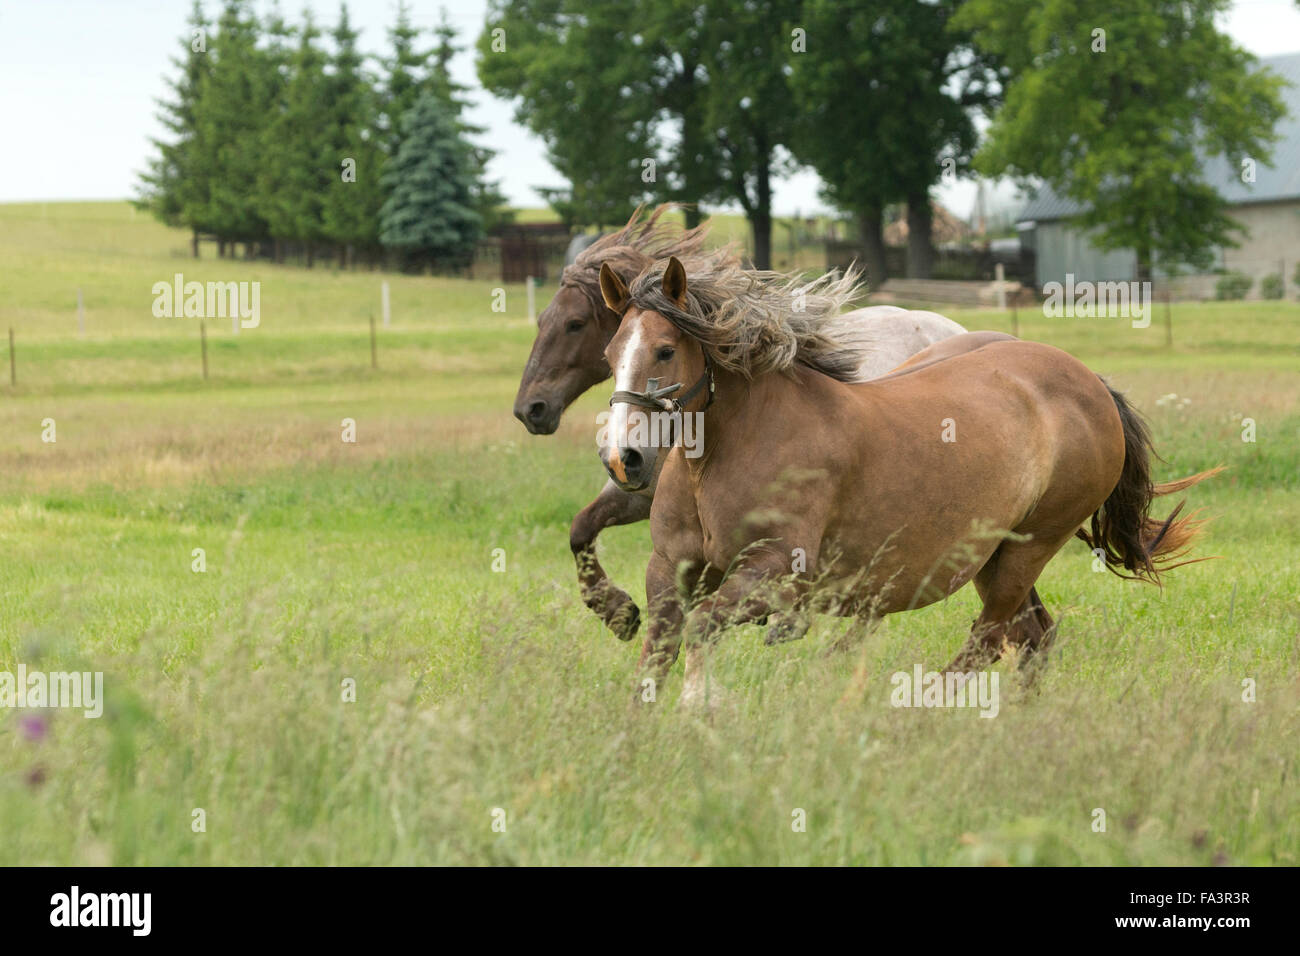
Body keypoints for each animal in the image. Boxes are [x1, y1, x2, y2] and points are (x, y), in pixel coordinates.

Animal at [513, 204, 968, 640]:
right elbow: (581, 528)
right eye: (610, 353)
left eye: (574, 325)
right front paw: (619, 613)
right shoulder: (638, 493)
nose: (530, 409)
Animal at [597, 256, 1219, 705]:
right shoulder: (671, 568)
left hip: (1031, 545)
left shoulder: (774, 570)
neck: (724, 454)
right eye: (608, 355)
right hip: (994, 554)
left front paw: (700, 708)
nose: (624, 459)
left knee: (988, 639)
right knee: (1032, 637)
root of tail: (1090, 381)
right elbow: (657, 653)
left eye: (665, 350)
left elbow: (700, 629)